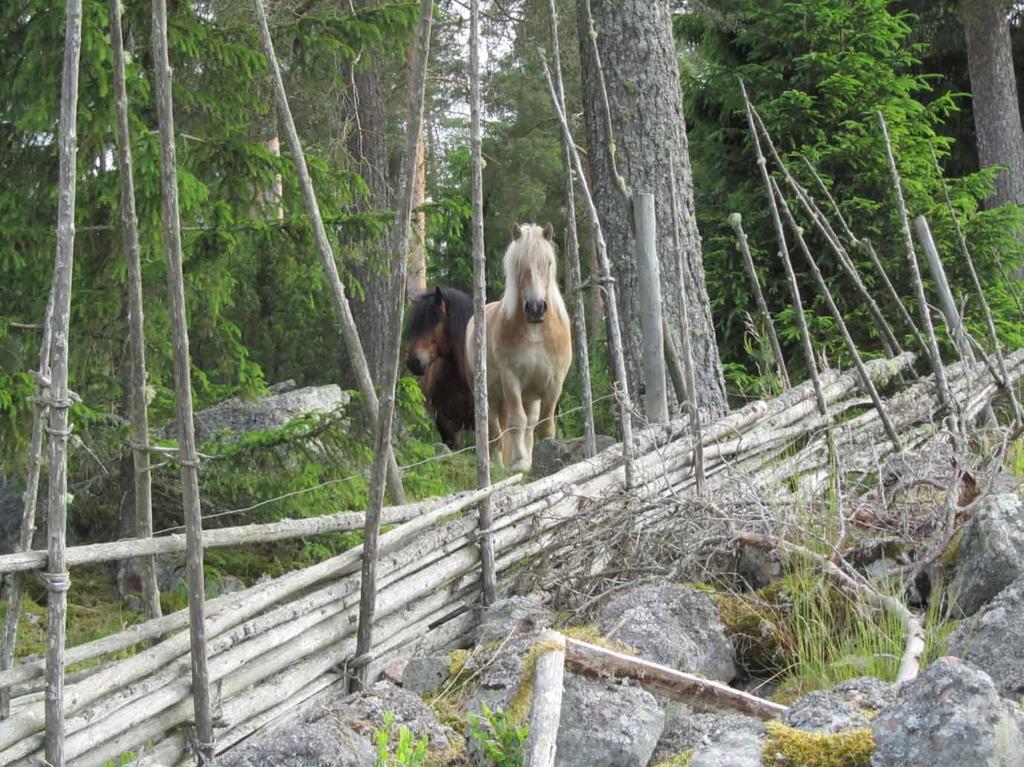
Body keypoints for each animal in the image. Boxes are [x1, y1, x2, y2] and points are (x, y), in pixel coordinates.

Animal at [468, 221, 573, 473]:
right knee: (494, 431)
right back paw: (496, 465)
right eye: (518, 265)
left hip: (531, 396)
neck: (536, 332)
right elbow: (517, 422)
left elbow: (544, 425)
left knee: (530, 424)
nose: (536, 308)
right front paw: (519, 463)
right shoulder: (511, 380)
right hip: (491, 397)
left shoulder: (554, 383)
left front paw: (546, 457)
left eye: (548, 263)